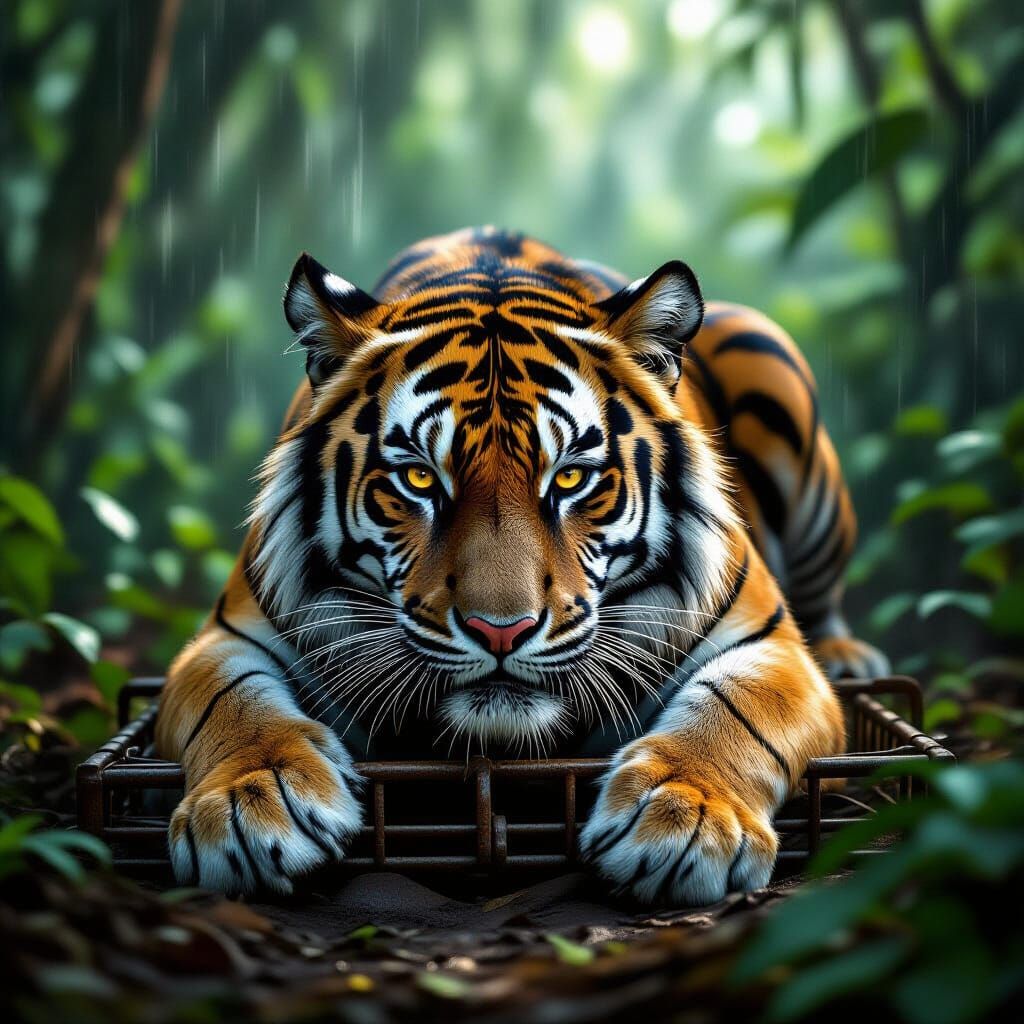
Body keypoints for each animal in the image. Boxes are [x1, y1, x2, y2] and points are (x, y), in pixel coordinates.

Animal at [154, 226, 888, 905]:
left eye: (569, 479)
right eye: (420, 479)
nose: (500, 631)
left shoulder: (770, 642)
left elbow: (735, 709)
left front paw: (686, 818)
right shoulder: (224, 637)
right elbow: (234, 703)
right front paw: (250, 805)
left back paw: (850, 658)